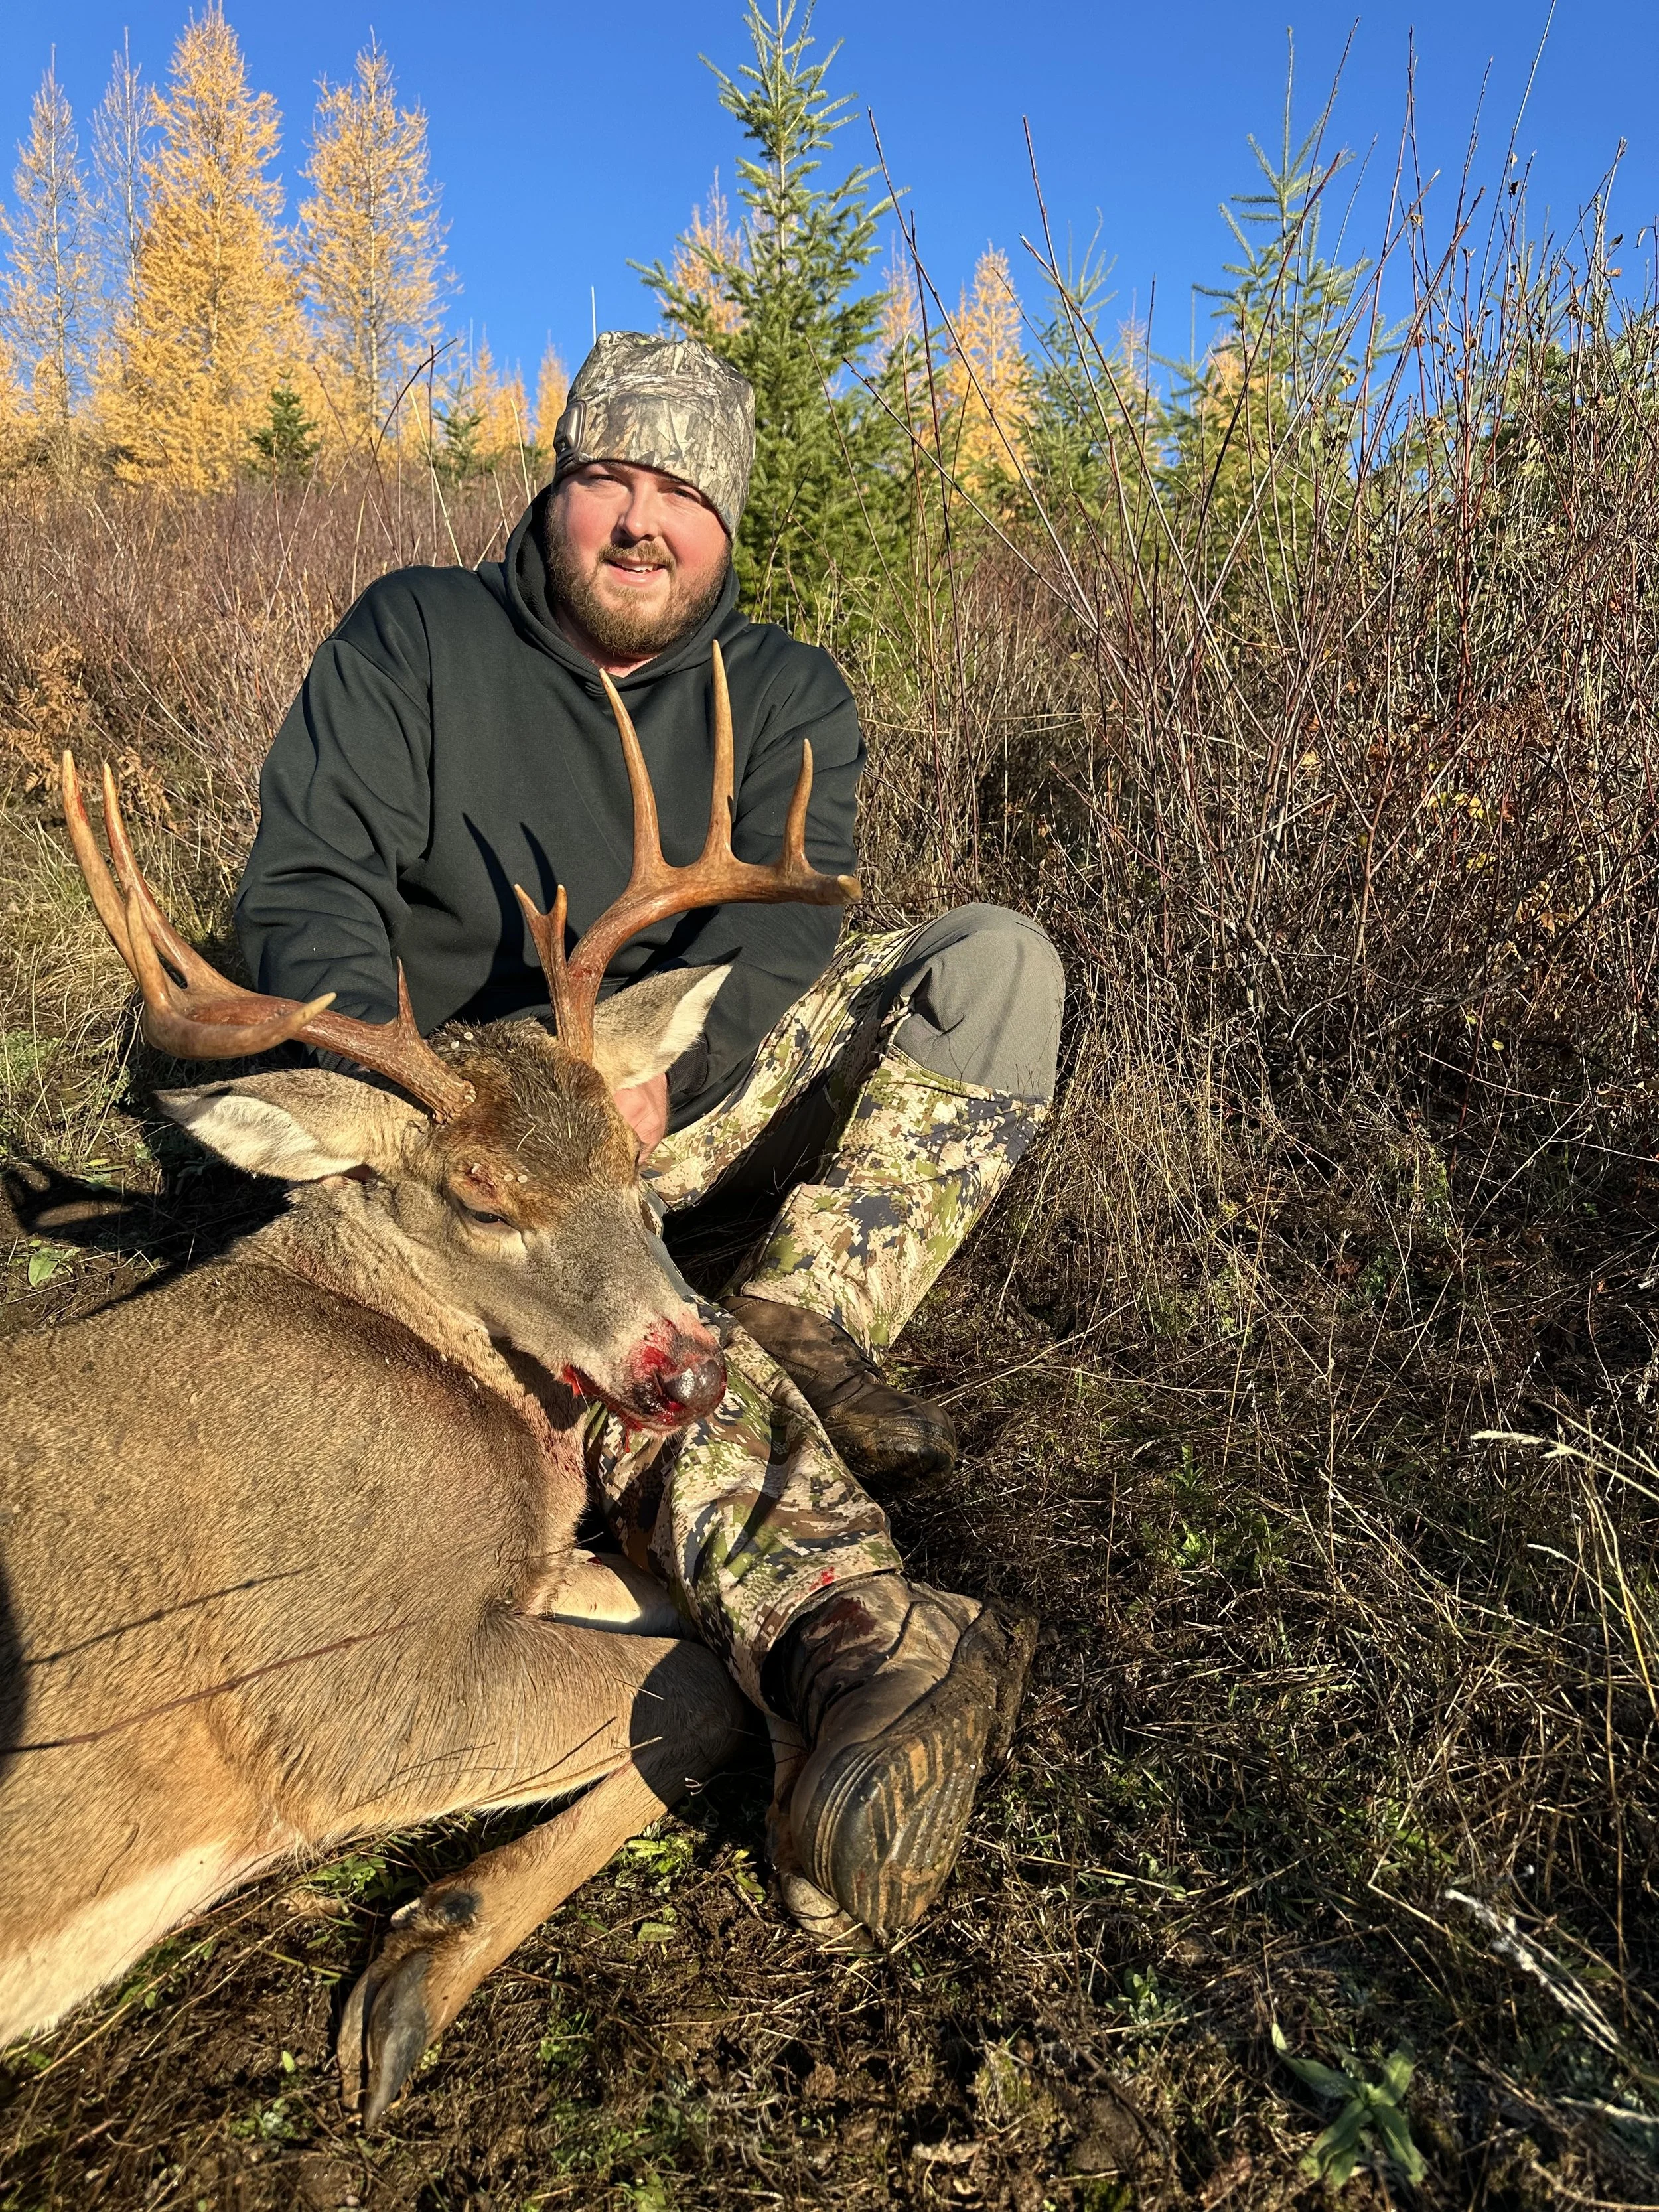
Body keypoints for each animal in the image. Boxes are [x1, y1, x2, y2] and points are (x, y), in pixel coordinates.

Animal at [0, 641, 858, 2127]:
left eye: (636, 1163)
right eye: (479, 1197)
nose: (690, 1369)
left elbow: (667, 1611)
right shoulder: (342, 1692)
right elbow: (687, 1686)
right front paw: (418, 1964)